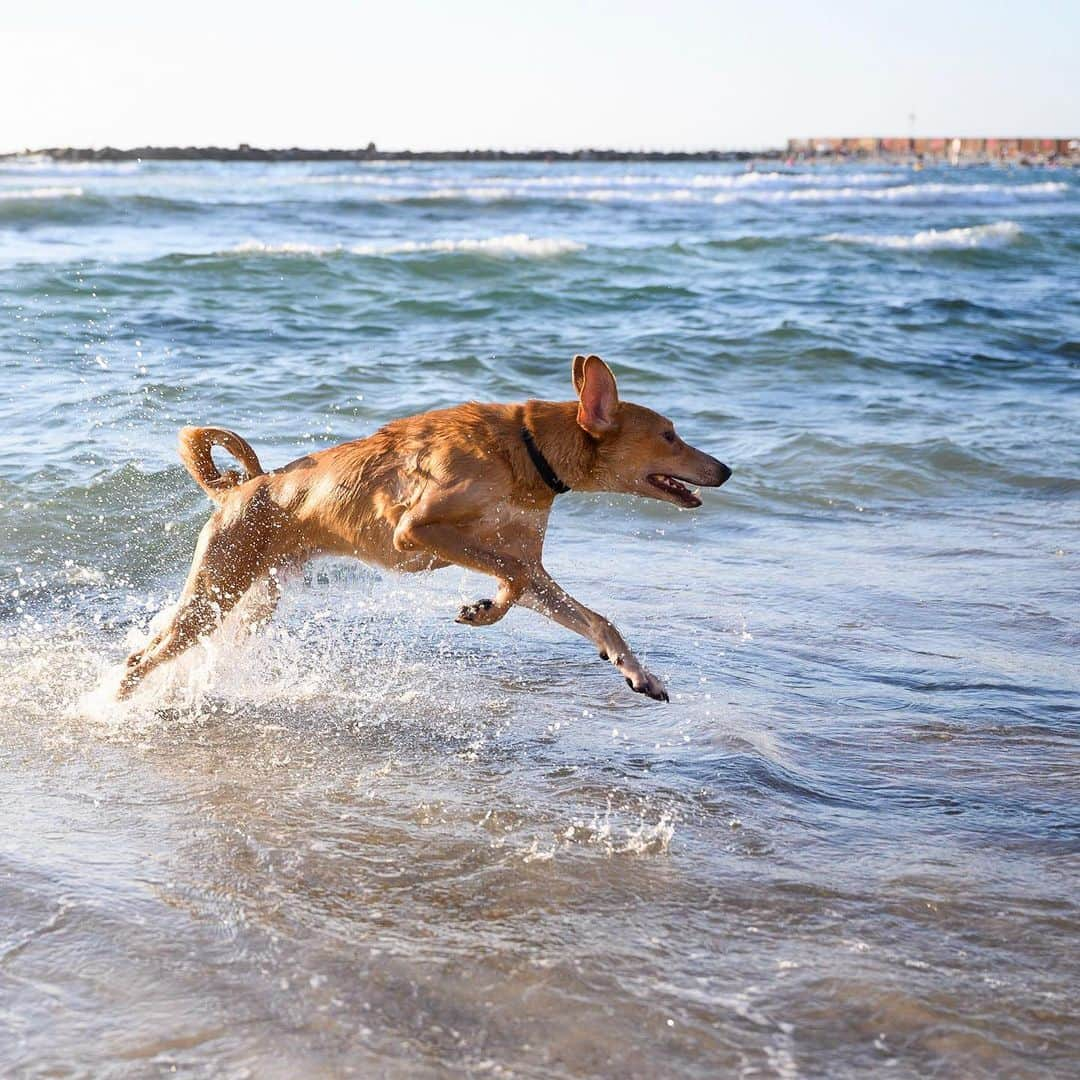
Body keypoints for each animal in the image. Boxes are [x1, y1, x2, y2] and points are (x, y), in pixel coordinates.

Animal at [122, 356, 738, 699]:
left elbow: (592, 618)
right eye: (669, 436)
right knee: (142, 660)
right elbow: (508, 574)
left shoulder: (531, 565)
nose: (726, 470)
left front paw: (639, 674)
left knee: (161, 647)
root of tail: (242, 489)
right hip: (216, 594)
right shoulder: (417, 530)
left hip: (248, 602)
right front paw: (483, 609)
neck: (527, 450)